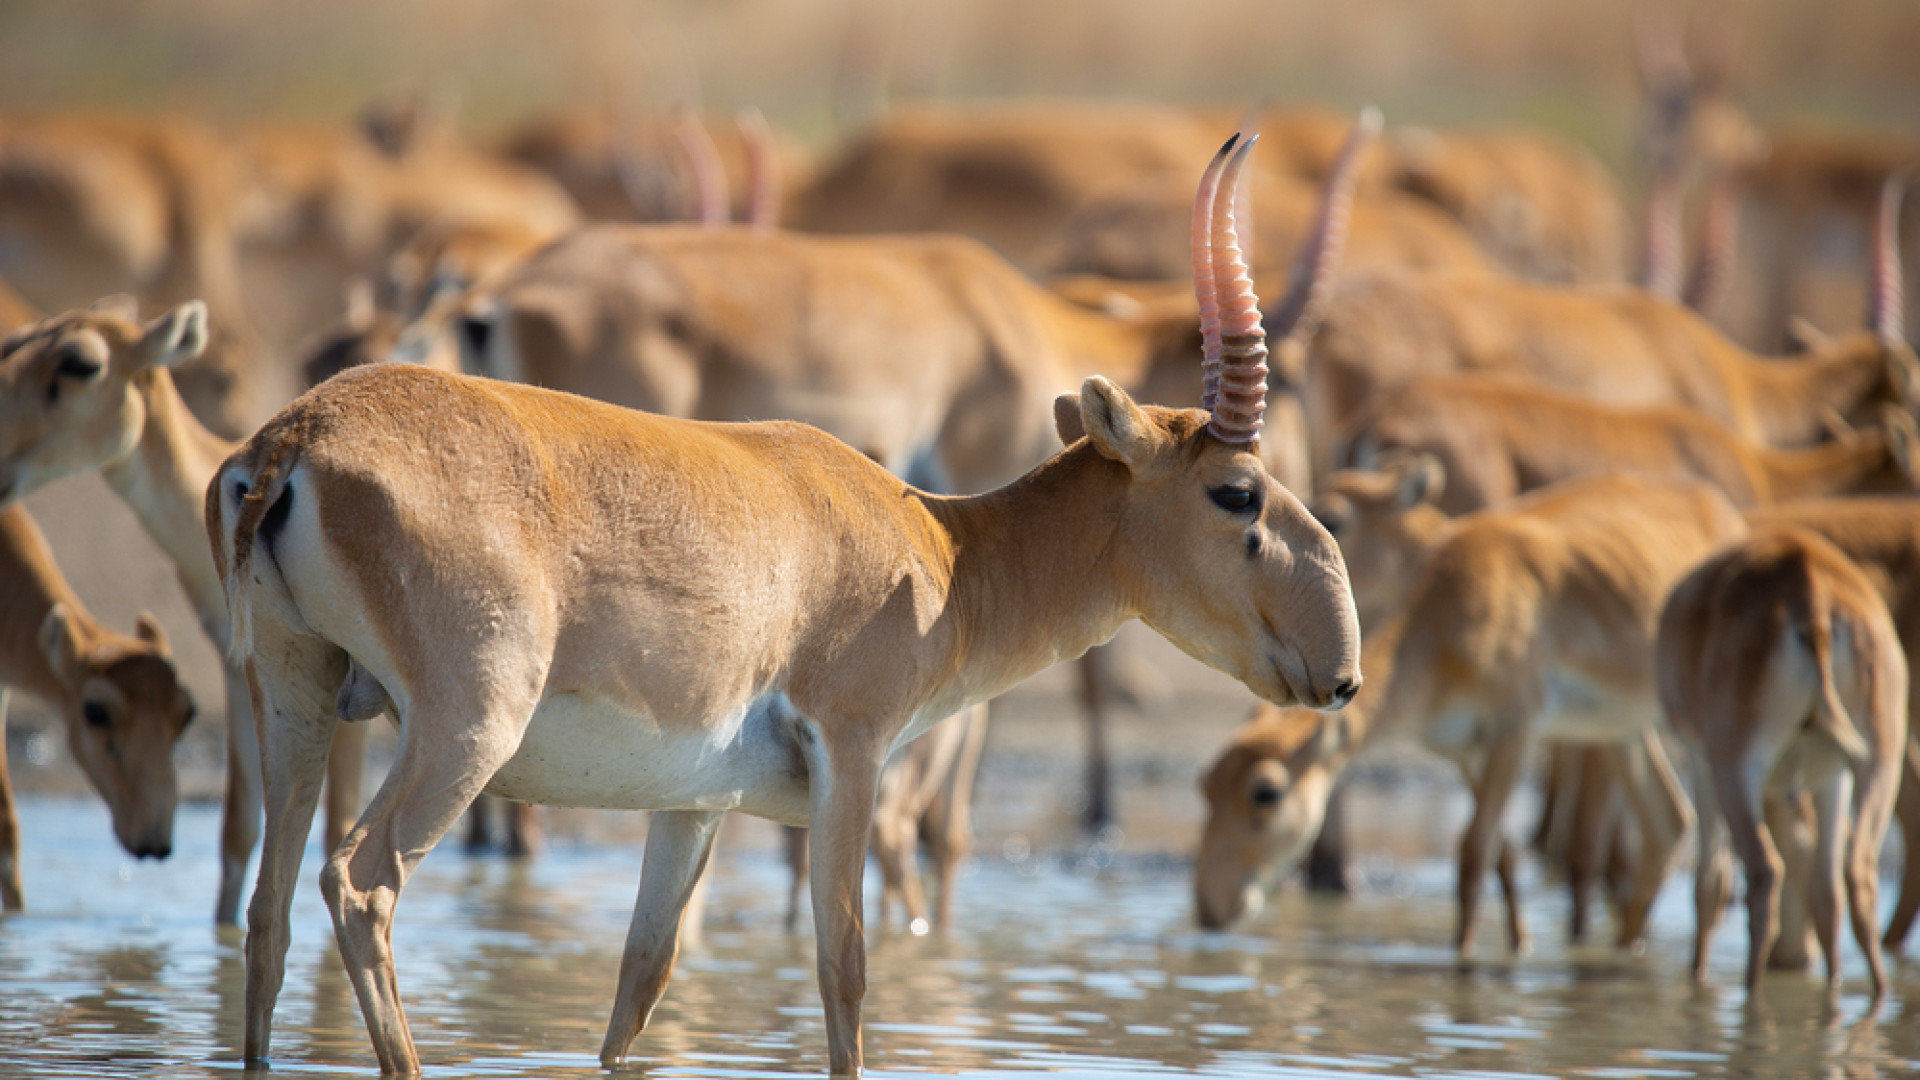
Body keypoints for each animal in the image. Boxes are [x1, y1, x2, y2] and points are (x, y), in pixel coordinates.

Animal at [214, 130, 1367, 1068]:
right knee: (359, 884)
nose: (1342, 674)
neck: (940, 552)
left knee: (267, 910)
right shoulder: (850, 758)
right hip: (462, 731)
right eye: (1238, 491)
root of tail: (294, 439)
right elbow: (845, 969)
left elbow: (641, 986)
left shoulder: (693, 804)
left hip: (297, 701)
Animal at [1651, 526, 1904, 999]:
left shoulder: (1702, 763)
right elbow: (1825, 893)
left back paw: (1750, 991)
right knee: (1856, 874)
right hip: (1880, 760)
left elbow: (1709, 881)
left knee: (1763, 872)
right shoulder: (1831, 777)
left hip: (1735, 767)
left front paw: (1697, 976)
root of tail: (1811, 593)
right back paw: (1863, 993)